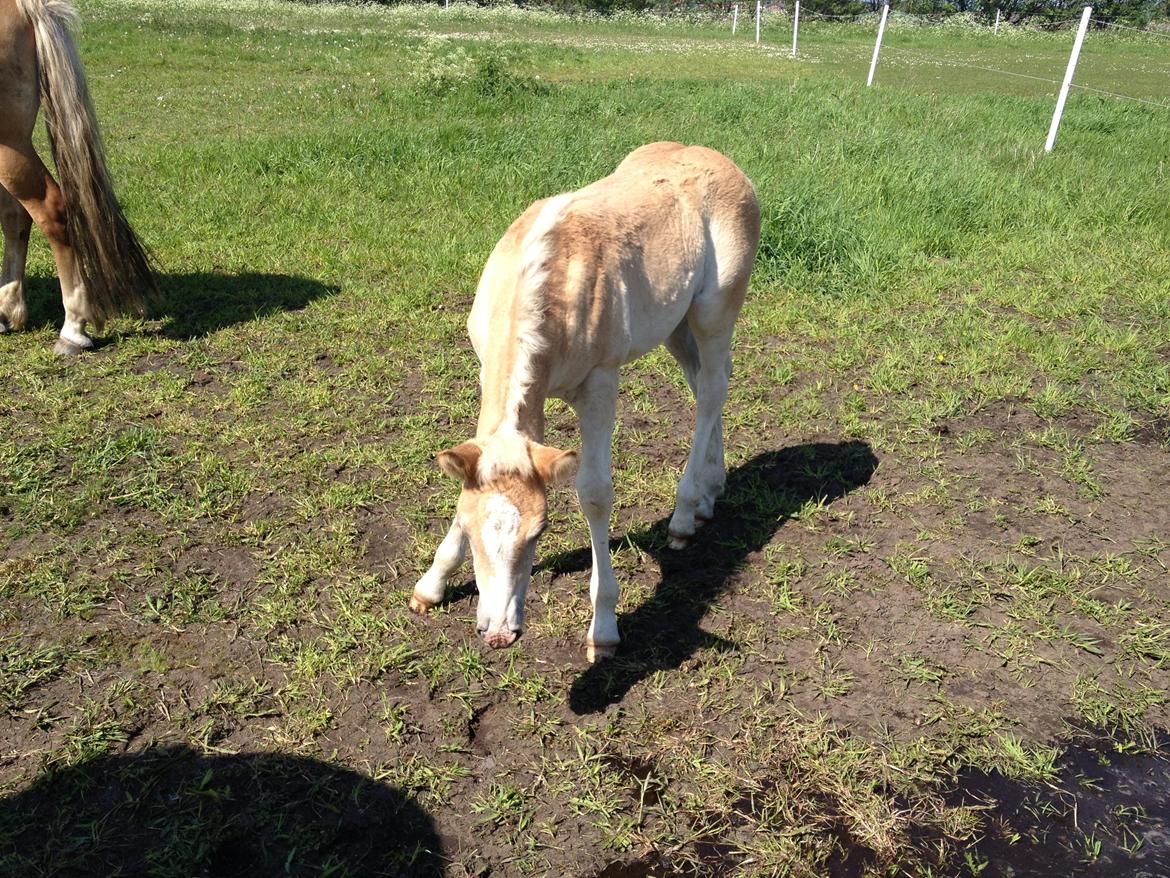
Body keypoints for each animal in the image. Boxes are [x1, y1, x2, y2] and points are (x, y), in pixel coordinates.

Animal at [411, 142, 758, 660]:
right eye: (470, 531)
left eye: (540, 532)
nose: (499, 634)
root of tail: (721, 159)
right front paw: (431, 585)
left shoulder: (600, 384)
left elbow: (594, 493)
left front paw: (605, 628)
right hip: (674, 324)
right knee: (704, 386)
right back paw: (708, 492)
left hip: (714, 311)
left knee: (713, 388)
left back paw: (683, 514)